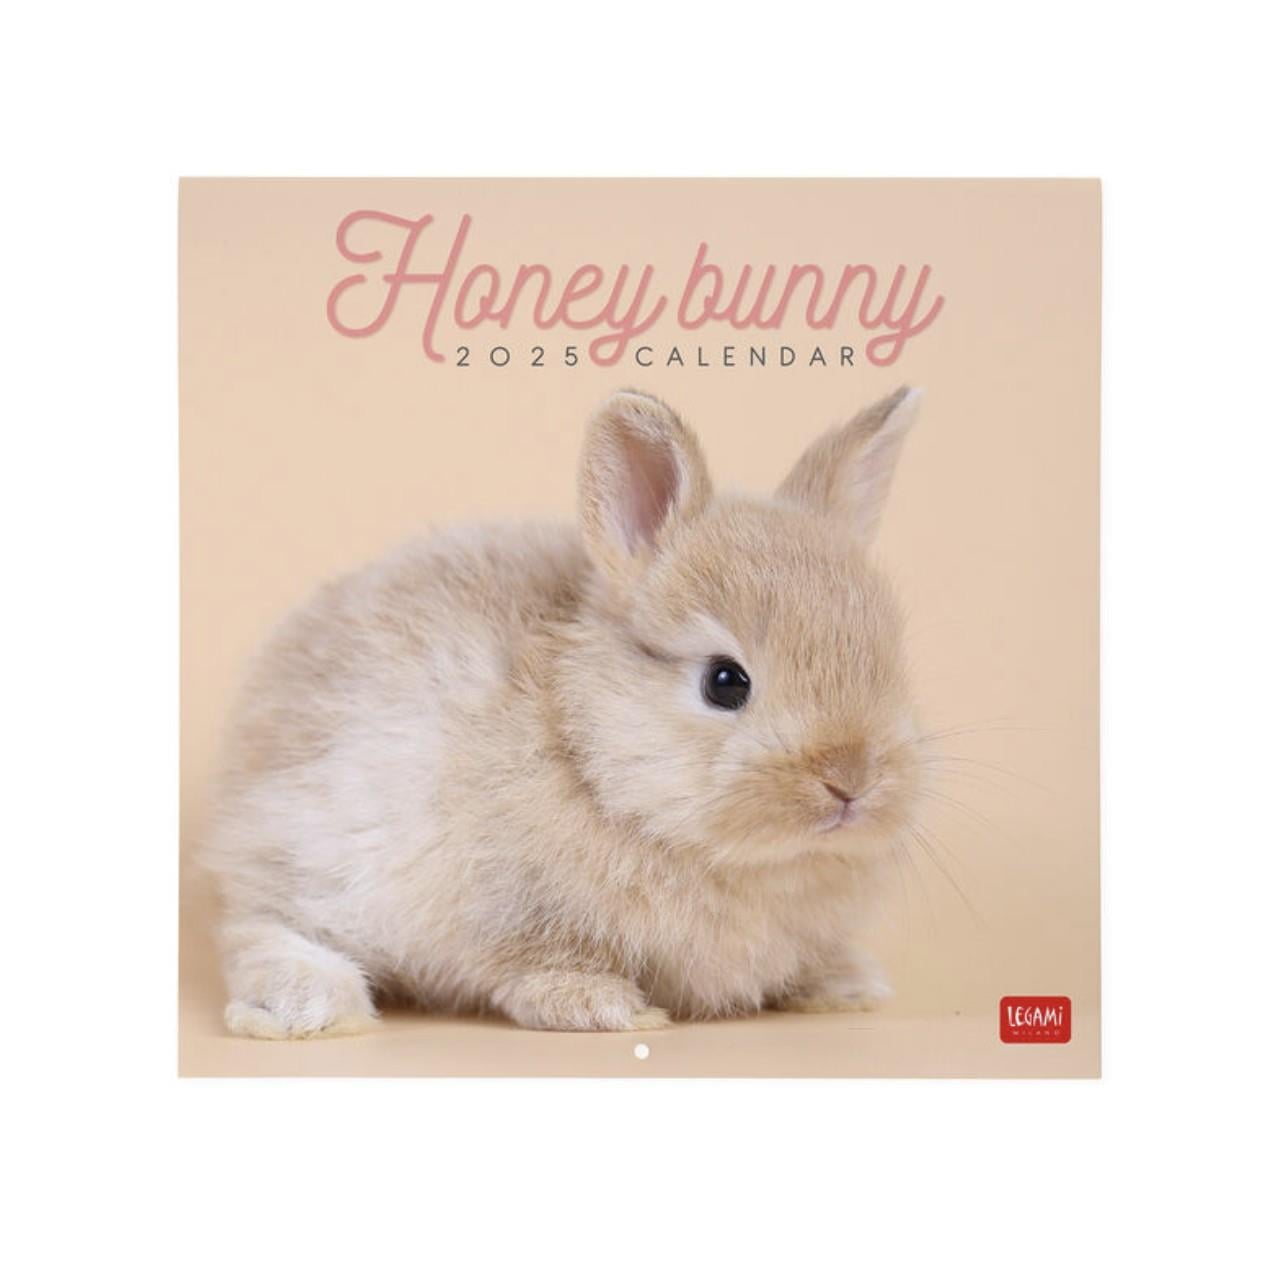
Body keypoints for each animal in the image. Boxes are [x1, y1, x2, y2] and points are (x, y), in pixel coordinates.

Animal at [203, 385, 925, 1037]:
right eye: (725, 682)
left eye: (889, 661)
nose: (851, 782)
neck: (587, 751)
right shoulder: (506, 909)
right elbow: (535, 964)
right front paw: (606, 1007)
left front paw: (846, 986)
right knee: (258, 928)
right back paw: (312, 1007)